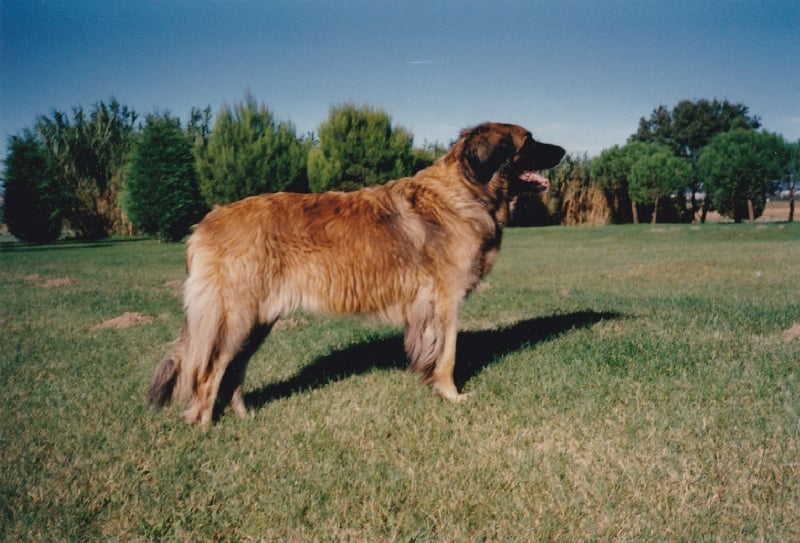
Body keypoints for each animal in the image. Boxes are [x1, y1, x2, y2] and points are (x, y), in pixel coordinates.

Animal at [147, 122, 564, 424]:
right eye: (528, 140)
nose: (563, 151)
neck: (466, 190)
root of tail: (205, 223)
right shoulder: (444, 303)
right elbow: (447, 355)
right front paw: (452, 396)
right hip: (234, 317)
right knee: (207, 372)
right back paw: (203, 425)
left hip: (257, 321)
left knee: (232, 371)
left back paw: (243, 416)